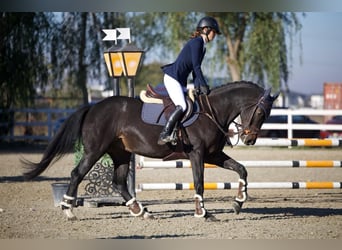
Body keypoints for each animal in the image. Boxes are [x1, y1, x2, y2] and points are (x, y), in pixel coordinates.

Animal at [22, 81, 278, 220]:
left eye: (266, 114)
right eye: (260, 112)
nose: (249, 139)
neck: (211, 111)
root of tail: (93, 106)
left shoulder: (213, 155)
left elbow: (242, 170)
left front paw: (238, 203)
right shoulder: (197, 154)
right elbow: (199, 183)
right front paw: (203, 213)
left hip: (121, 153)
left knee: (119, 182)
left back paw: (141, 211)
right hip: (95, 150)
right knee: (77, 174)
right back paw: (69, 211)